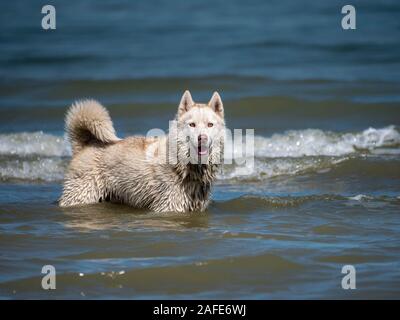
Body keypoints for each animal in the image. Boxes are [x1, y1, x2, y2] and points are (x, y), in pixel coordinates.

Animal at [58, 90, 225, 212]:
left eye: (210, 125)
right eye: (192, 124)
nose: (202, 138)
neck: (184, 168)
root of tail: (86, 144)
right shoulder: (169, 207)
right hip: (81, 196)